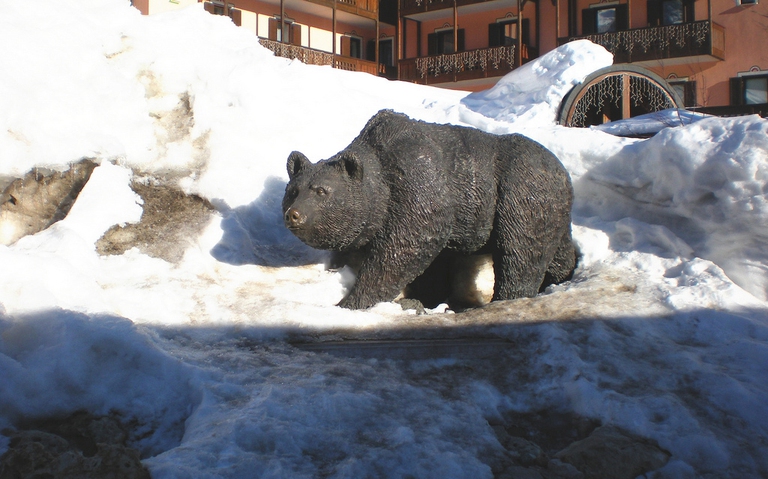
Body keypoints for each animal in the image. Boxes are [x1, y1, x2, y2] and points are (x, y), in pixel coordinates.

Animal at [282, 109, 576, 310]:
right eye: (294, 191)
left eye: (322, 191)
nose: (294, 214)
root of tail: (563, 172)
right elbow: (431, 262)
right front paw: (424, 297)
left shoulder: (417, 180)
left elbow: (404, 248)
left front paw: (351, 302)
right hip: (549, 207)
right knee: (555, 249)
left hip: (520, 190)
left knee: (520, 250)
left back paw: (506, 299)